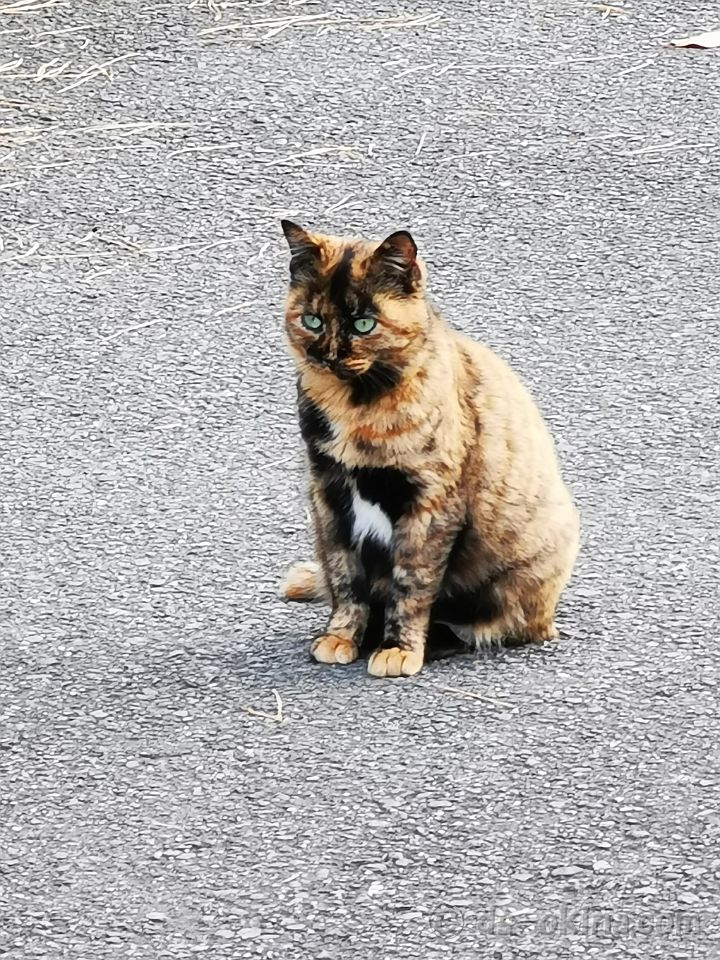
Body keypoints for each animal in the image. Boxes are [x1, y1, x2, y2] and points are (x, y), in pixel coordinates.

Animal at [278, 221, 580, 678]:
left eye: (364, 324)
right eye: (311, 320)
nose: (327, 355)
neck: (356, 408)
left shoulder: (431, 502)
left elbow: (412, 584)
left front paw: (399, 649)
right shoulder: (327, 492)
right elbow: (346, 576)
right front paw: (340, 637)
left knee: (498, 626)